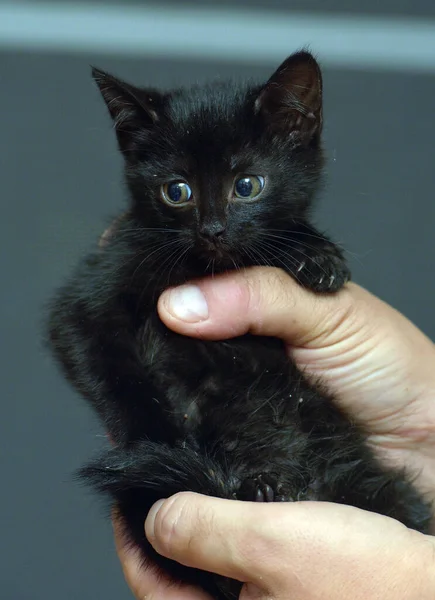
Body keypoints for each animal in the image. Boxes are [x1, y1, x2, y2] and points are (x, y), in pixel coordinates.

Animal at [46, 52, 432, 600]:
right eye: (176, 191)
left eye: (247, 186)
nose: (213, 230)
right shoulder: (87, 302)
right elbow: (119, 380)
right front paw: (164, 441)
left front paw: (313, 252)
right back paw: (255, 486)